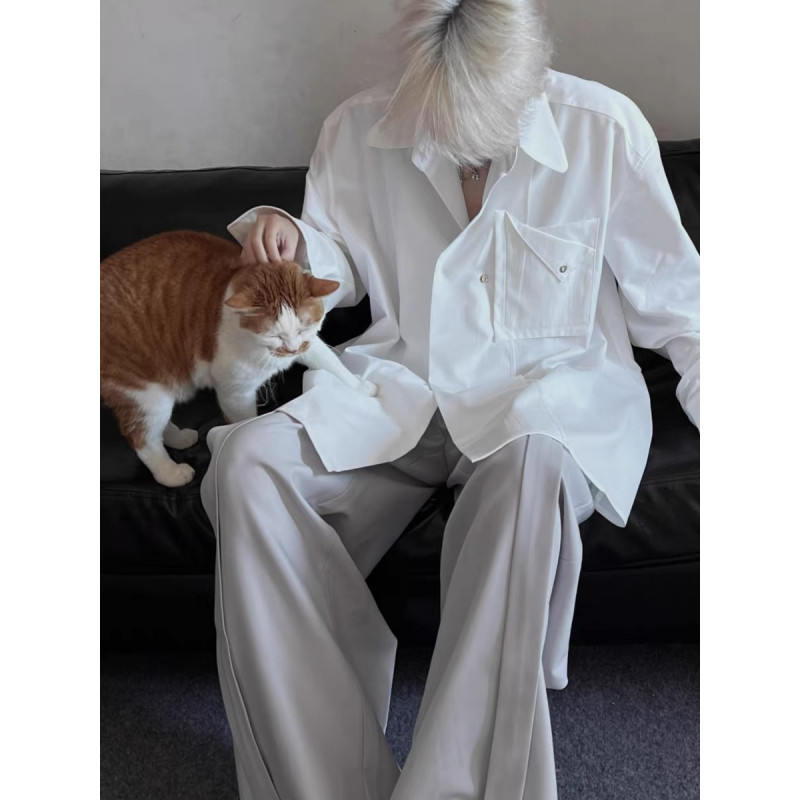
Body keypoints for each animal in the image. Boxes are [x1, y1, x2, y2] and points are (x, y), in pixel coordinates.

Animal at [100, 230, 377, 487]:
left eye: (302, 328)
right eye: (274, 335)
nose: (291, 349)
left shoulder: (309, 344)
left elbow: (330, 362)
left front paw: (362, 387)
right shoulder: (235, 390)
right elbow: (244, 422)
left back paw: (178, 438)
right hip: (144, 390)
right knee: (143, 437)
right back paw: (171, 472)